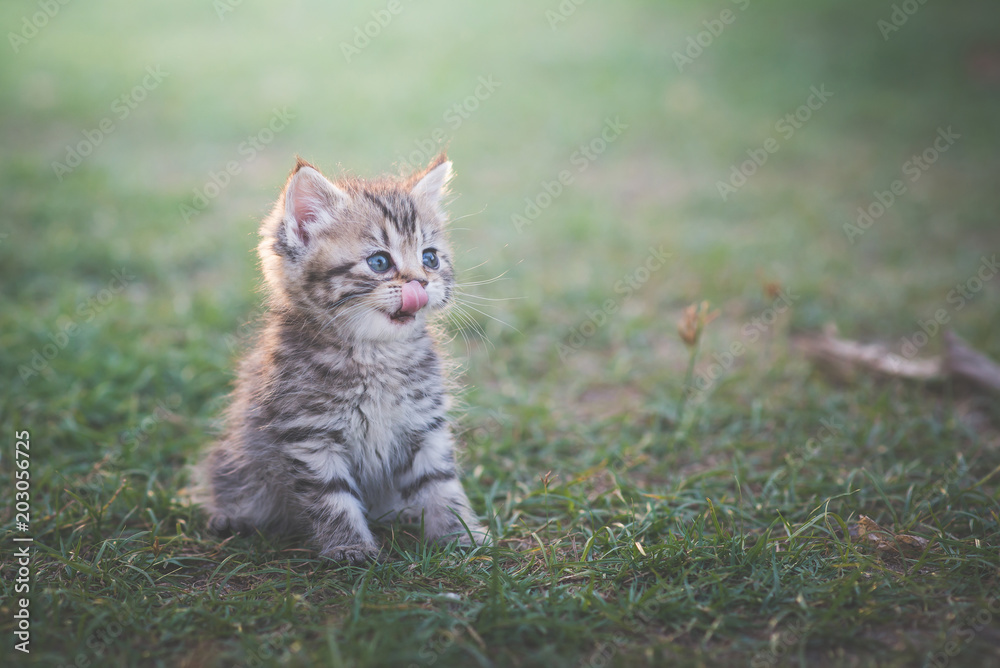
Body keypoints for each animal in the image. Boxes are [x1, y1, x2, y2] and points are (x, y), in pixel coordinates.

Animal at [202, 154, 484, 560]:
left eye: (430, 258)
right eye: (379, 263)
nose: (420, 282)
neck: (377, 354)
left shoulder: (425, 424)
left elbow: (440, 483)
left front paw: (460, 535)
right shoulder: (309, 434)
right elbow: (332, 498)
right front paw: (351, 548)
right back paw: (232, 519)